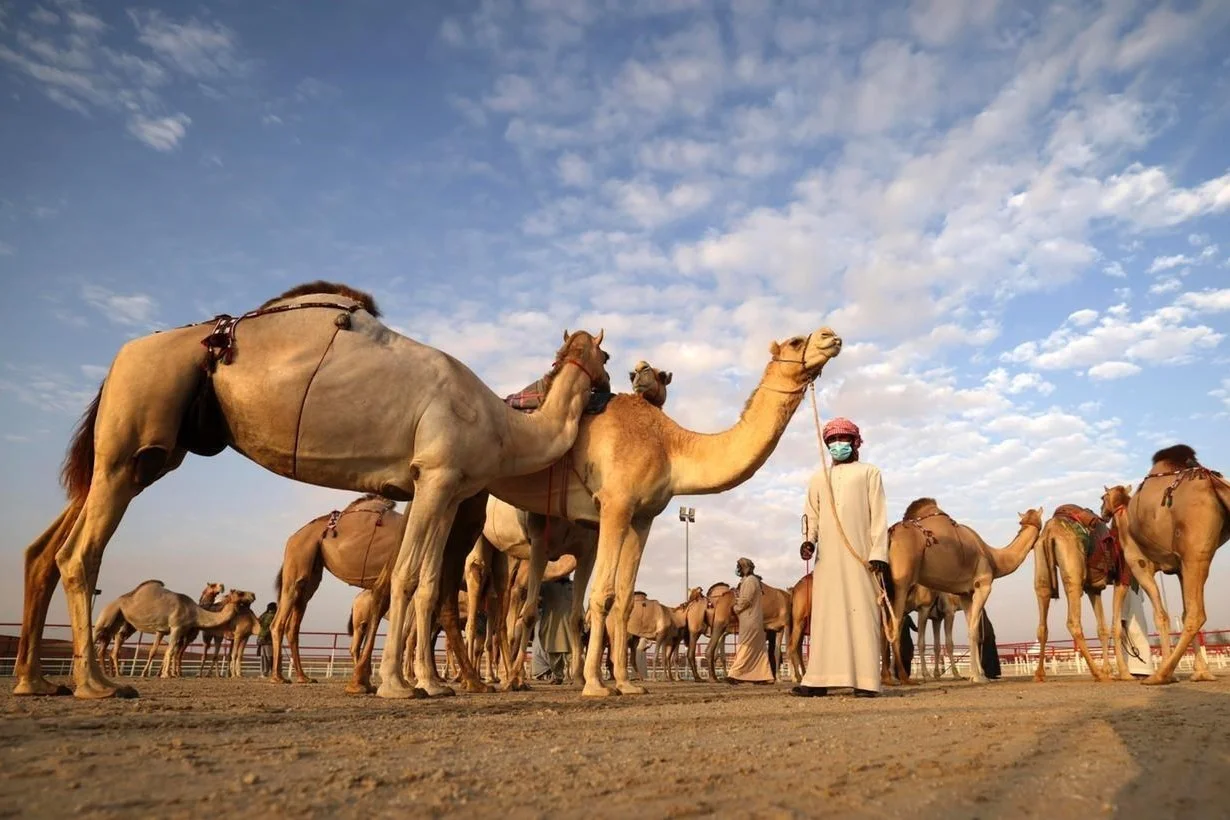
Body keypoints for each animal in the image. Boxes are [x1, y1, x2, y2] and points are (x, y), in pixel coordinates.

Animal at [14, 277, 610, 698]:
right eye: (604, 355)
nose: (610, 385)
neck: (504, 424)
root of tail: (122, 357)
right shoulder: (438, 475)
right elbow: (412, 579)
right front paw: (402, 686)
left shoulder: (445, 487)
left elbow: (423, 584)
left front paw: (428, 681)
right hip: (133, 432)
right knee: (79, 553)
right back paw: (97, 684)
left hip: (144, 456)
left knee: (45, 549)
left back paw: (35, 680)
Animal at [482, 329, 846, 698]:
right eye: (796, 342)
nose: (830, 336)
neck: (668, 445)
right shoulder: (615, 503)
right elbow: (602, 594)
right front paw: (596, 686)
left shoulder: (642, 516)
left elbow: (624, 599)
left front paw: (626, 683)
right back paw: (503, 679)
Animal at [890, 501, 1043, 688]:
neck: (994, 558)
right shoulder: (981, 586)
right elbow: (968, 634)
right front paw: (975, 676)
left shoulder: (964, 595)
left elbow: (969, 631)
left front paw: (978, 673)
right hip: (902, 585)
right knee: (894, 627)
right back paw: (901, 677)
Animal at [1028, 506, 1131, 688]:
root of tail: (1050, 532)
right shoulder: (1122, 580)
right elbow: (1116, 628)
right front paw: (1124, 673)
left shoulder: (1093, 589)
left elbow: (1102, 628)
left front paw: (1109, 671)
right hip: (1073, 569)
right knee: (1073, 622)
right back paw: (1097, 673)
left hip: (1041, 567)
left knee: (1042, 621)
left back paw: (1039, 675)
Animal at [1102, 442, 1225, 688]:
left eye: (1103, 498)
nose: (1102, 515)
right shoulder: (1178, 568)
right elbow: (1180, 614)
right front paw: (1200, 672)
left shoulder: (1137, 567)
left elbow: (1159, 616)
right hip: (1198, 557)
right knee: (1193, 612)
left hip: (1195, 554)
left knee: (1197, 613)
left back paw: (1159, 674)